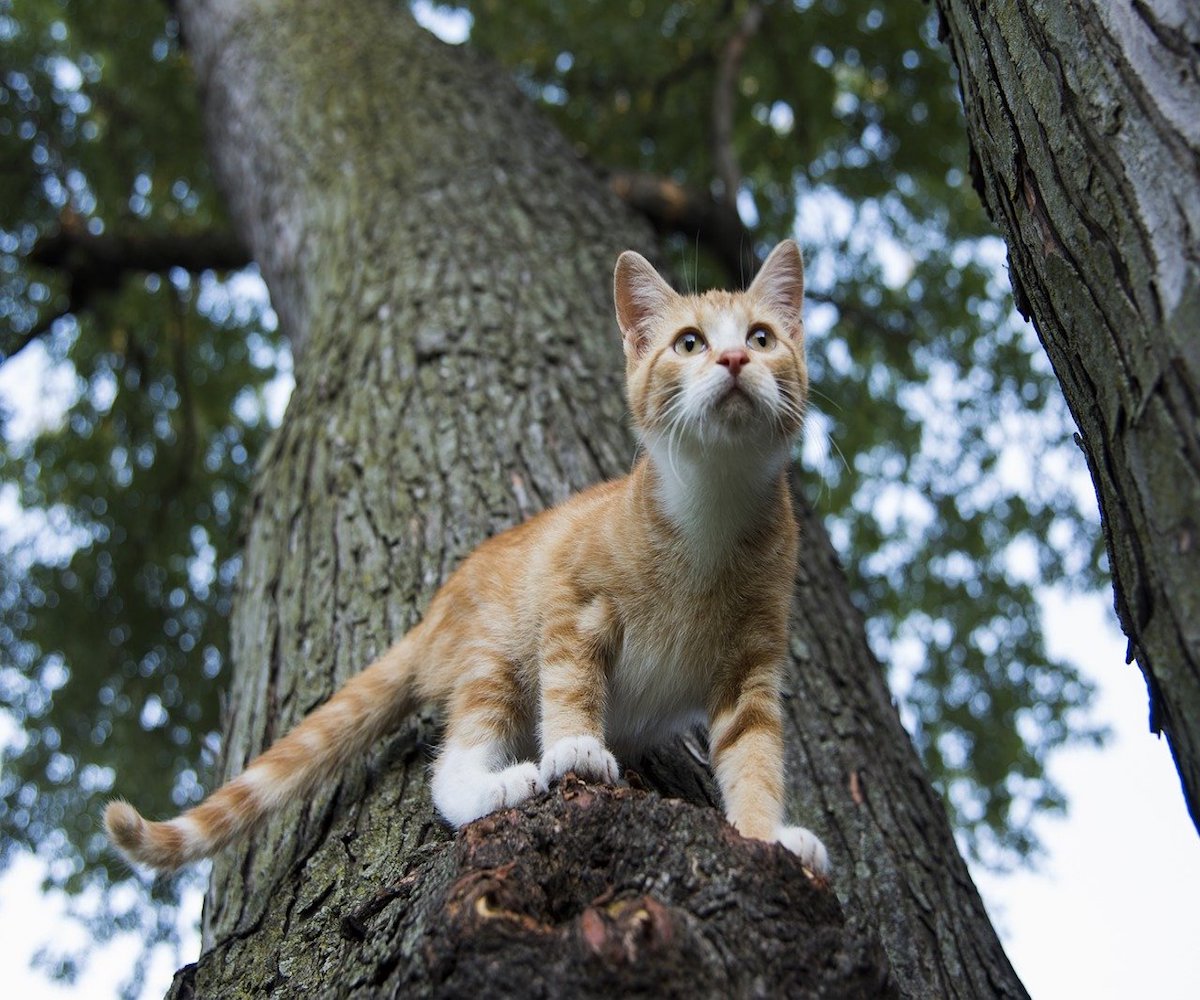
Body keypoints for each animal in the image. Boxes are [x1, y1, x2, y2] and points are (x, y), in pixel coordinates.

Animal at [103, 240, 830, 873]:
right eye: (689, 343)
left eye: (761, 337)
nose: (733, 358)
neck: (710, 508)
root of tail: (433, 614)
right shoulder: (571, 598)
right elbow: (571, 679)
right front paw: (575, 745)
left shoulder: (751, 666)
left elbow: (754, 753)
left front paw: (767, 836)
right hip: (492, 654)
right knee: (453, 759)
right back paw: (495, 787)